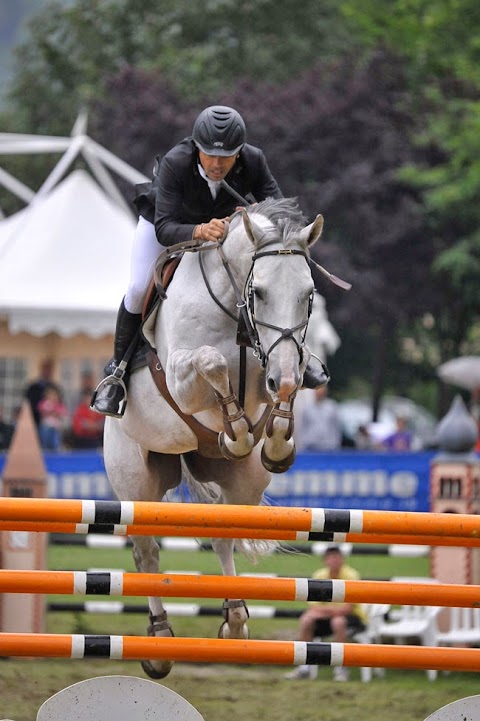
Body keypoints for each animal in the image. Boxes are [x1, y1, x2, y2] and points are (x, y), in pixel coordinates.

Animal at [103, 195, 324, 676]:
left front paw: (276, 440)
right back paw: (160, 641)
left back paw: (236, 620)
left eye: (309, 295)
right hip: (138, 483)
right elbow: (212, 362)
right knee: (146, 552)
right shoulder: (183, 378)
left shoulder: (276, 363)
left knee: (224, 535)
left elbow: (291, 378)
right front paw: (237, 432)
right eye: (259, 292)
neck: (233, 307)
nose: (279, 376)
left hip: (242, 484)